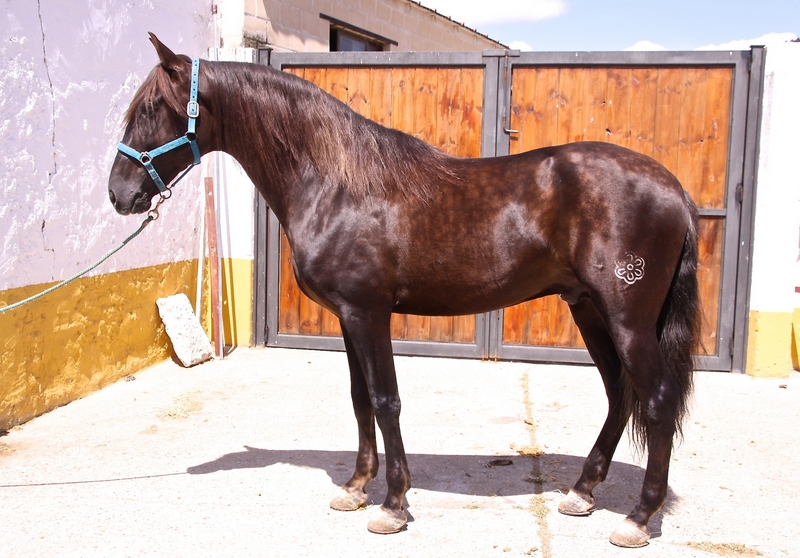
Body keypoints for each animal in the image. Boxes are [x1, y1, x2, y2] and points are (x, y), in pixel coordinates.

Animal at [108, 34, 700, 548]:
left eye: (151, 108)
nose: (118, 194)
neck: (335, 184)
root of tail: (673, 188)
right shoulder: (347, 318)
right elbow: (360, 399)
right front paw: (354, 488)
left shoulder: (369, 314)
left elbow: (386, 400)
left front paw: (392, 505)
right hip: (588, 309)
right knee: (620, 391)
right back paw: (581, 492)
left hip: (626, 319)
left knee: (657, 399)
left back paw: (638, 518)